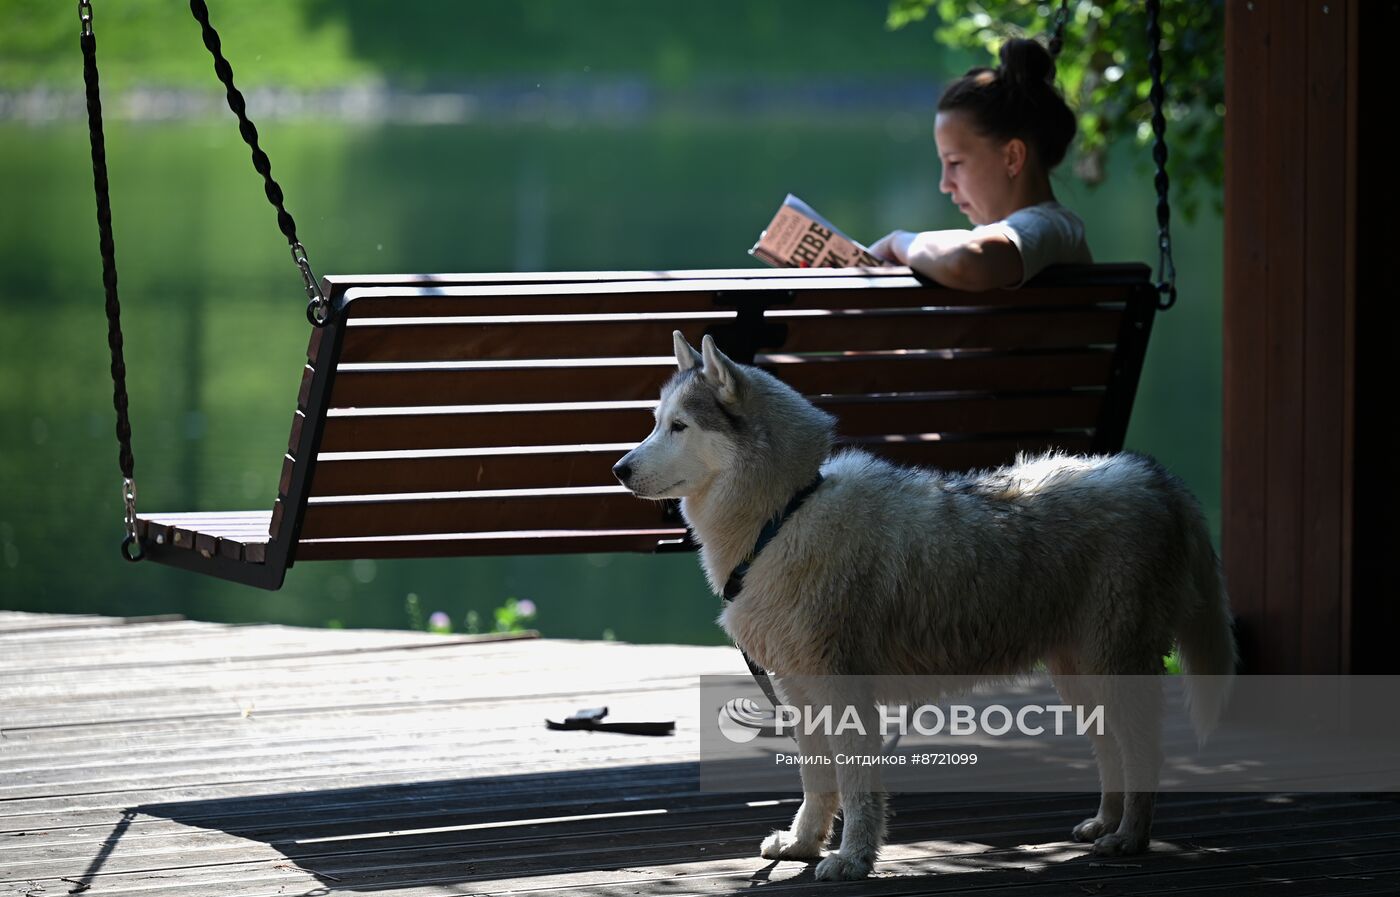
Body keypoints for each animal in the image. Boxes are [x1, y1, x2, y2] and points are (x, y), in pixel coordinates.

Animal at [613, 333, 1237, 878]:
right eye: (654, 422)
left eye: (679, 426)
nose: (617, 470)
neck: (785, 513)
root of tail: (1156, 477)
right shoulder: (798, 690)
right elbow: (818, 782)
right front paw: (802, 845)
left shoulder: (843, 690)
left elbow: (859, 790)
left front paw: (852, 861)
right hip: (1078, 675)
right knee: (1113, 754)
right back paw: (1104, 825)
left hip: (1111, 666)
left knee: (1145, 755)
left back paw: (1130, 838)